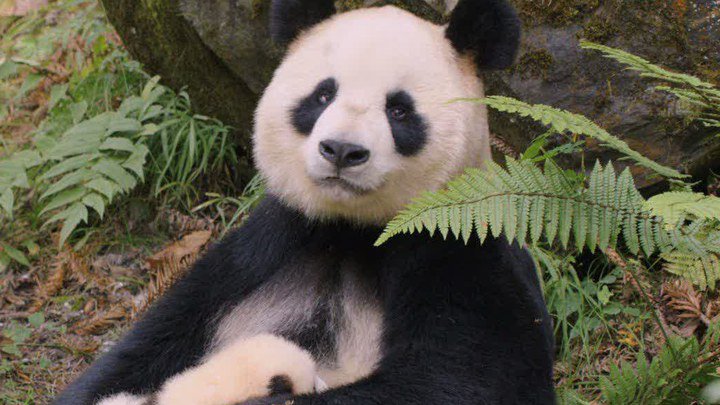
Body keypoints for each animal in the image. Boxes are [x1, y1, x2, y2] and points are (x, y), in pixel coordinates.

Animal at [53, 0, 556, 404]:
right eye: (322, 95)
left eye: (399, 110)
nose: (342, 150)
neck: (354, 228)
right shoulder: (269, 241)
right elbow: (147, 345)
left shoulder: (460, 248)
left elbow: (452, 379)